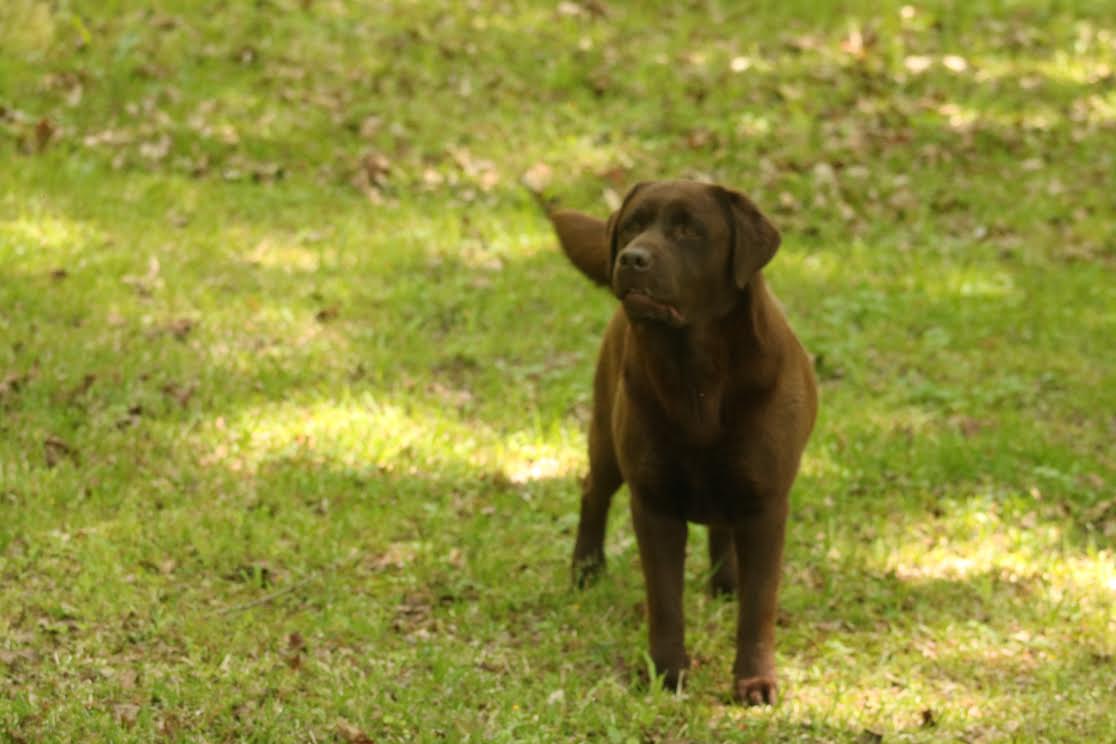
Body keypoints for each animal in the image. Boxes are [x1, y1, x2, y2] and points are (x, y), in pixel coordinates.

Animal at [549, 178, 821, 704]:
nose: (632, 258)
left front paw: (754, 680)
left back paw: (726, 582)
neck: (695, 375)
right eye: (632, 224)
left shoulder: (766, 502)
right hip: (607, 439)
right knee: (594, 490)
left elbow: (758, 605)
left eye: (688, 230)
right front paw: (667, 672)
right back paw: (587, 568)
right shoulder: (653, 502)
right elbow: (665, 600)